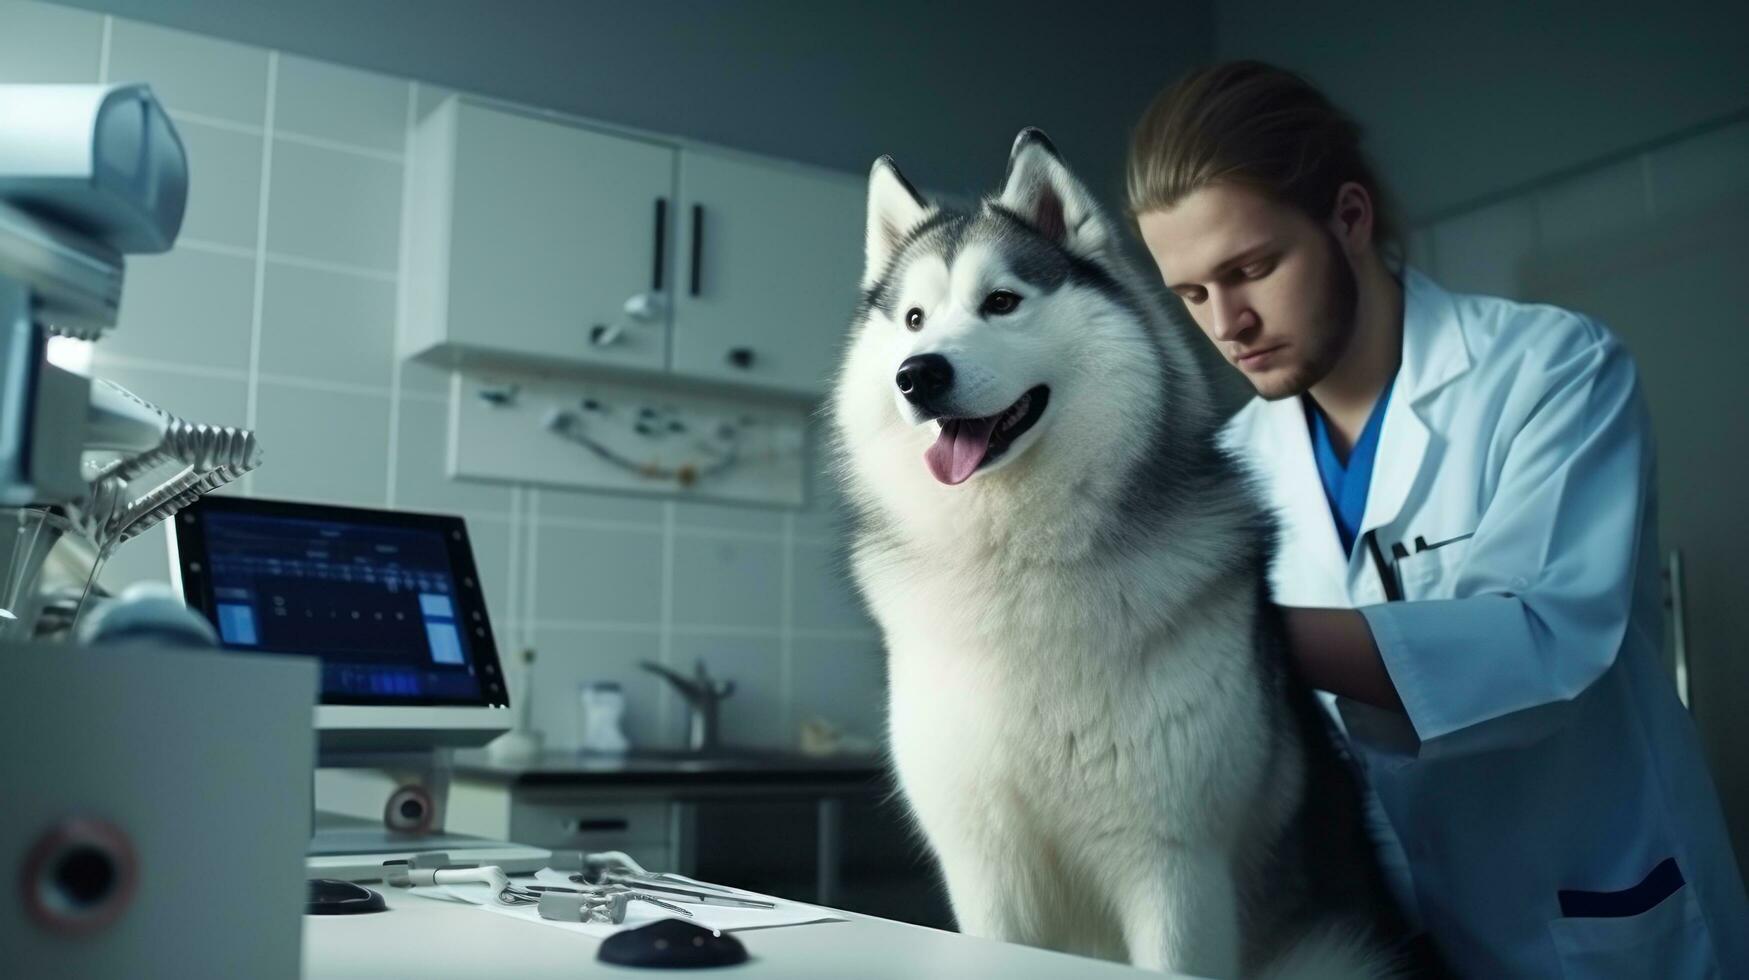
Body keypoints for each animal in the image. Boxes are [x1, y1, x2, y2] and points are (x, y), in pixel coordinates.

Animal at [829, 130, 1420, 980]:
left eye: (1001, 302)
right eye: (912, 318)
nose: (919, 374)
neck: (1015, 564)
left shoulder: (1173, 866)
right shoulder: (983, 865)